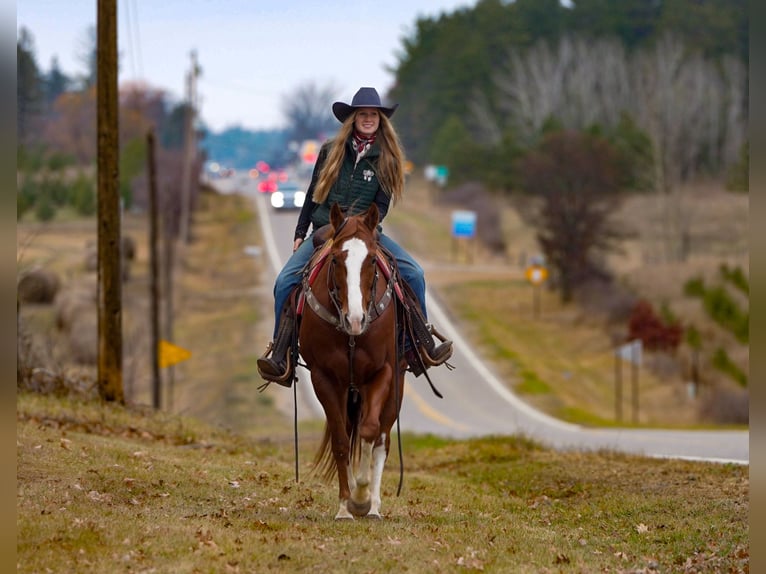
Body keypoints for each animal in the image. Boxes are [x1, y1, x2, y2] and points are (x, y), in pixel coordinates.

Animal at [298, 204, 408, 520]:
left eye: (371, 259)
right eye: (336, 259)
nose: (355, 319)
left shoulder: (383, 372)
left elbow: (370, 431)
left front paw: (361, 498)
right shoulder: (323, 378)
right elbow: (341, 441)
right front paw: (345, 506)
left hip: (396, 385)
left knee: (382, 438)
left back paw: (374, 506)